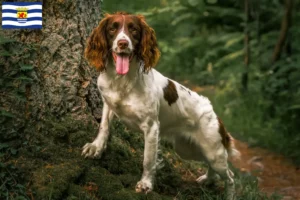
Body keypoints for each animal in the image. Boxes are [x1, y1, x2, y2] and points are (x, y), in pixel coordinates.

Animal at [81, 11, 239, 199]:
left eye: (133, 30)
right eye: (113, 28)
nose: (122, 43)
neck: (123, 80)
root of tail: (214, 112)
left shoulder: (151, 127)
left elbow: (148, 160)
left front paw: (145, 184)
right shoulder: (108, 103)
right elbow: (103, 127)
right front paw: (96, 148)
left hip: (212, 151)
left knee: (230, 177)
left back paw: (228, 194)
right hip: (188, 149)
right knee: (214, 169)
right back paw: (207, 179)